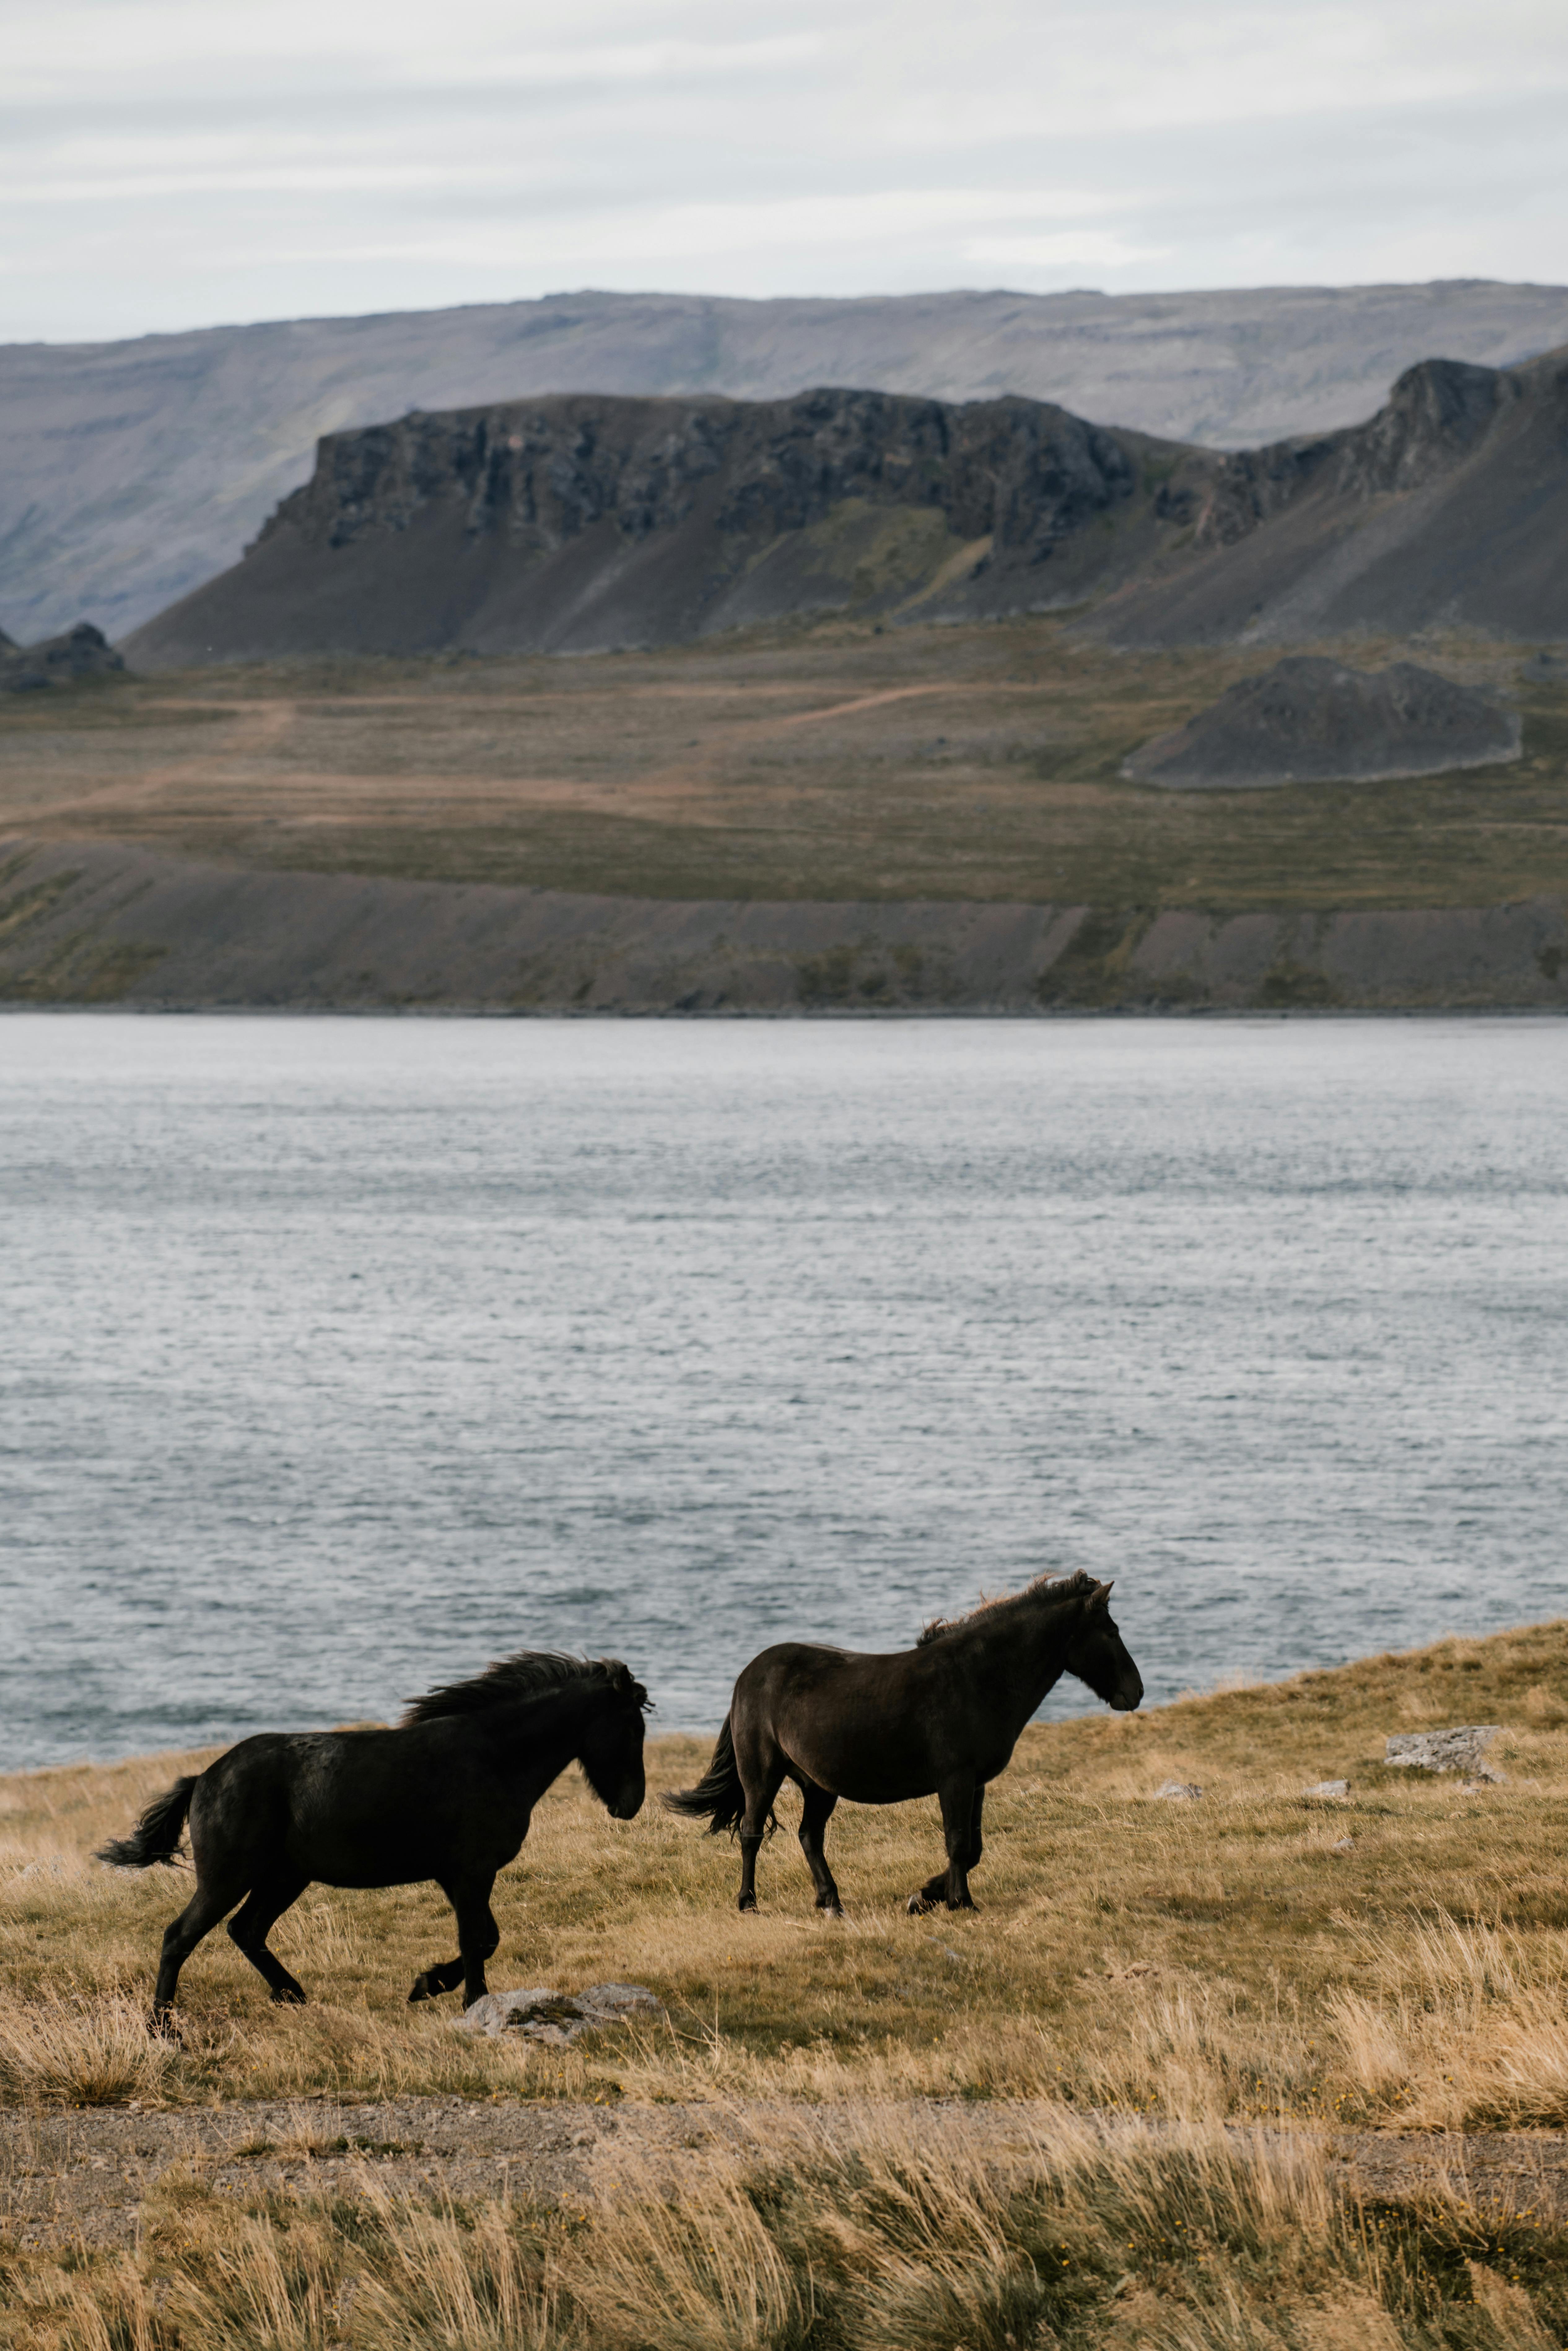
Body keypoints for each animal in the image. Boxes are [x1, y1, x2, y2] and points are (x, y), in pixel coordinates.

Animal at [97, 1653, 649, 2030]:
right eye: (631, 1725)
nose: (631, 1804)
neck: (494, 1756)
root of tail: (203, 1779)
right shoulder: (471, 1872)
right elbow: (477, 1938)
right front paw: (465, 1999)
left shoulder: (458, 1875)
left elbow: (484, 1937)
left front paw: (429, 1985)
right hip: (227, 1877)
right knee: (180, 1937)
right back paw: (162, 2027)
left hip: (284, 1876)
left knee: (245, 1930)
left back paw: (292, 1994)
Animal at [663, 1571, 1141, 1915]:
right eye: (1111, 1631)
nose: (1134, 1692)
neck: (976, 1678)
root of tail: (747, 1676)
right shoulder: (955, 1779)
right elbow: (958, 1842)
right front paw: (959, 1903)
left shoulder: (975, 1783)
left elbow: (973, 1847)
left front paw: (924, 1896)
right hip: (762, 1774)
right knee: (751, 1834)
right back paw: (748, 1902)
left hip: (818, 1784)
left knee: (808, 1836)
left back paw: (831, 1902)